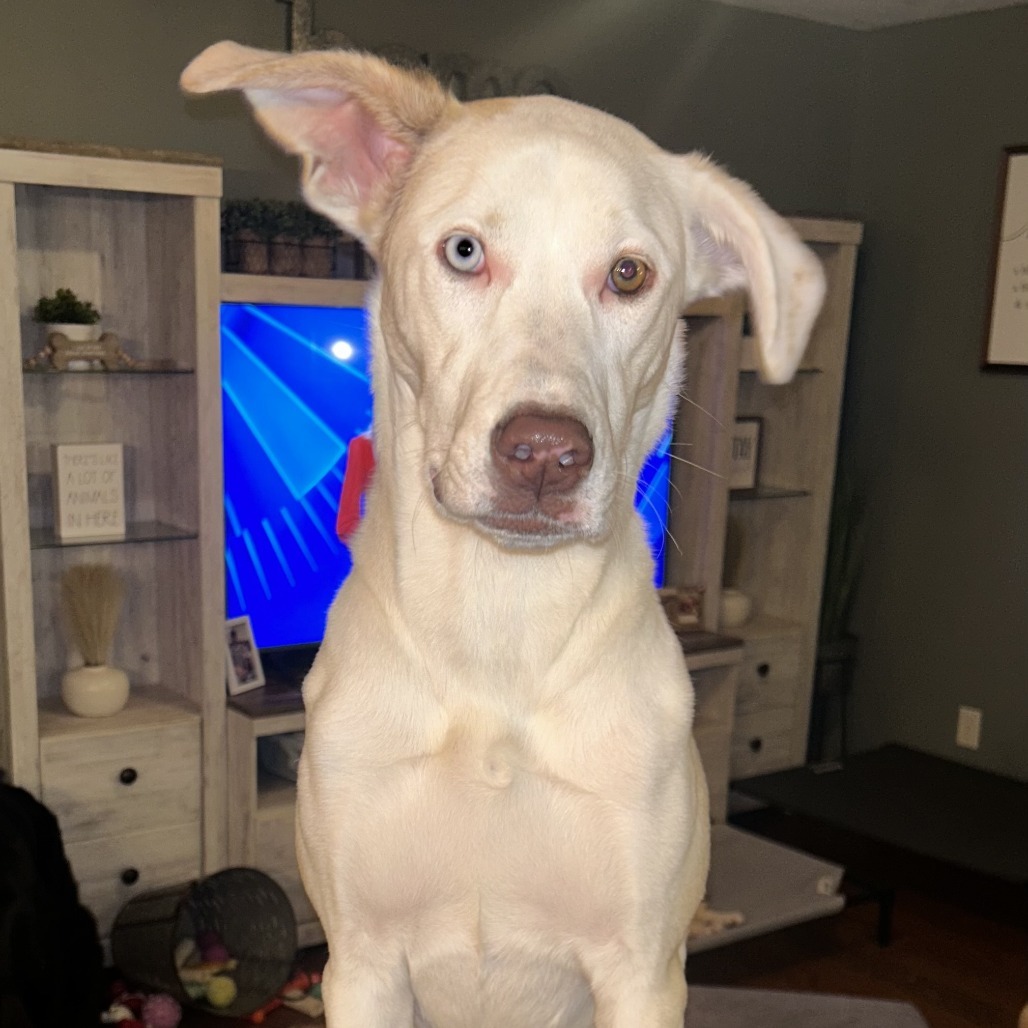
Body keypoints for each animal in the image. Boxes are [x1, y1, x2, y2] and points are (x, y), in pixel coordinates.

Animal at [180, 42, 822, 1028]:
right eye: (465, 250)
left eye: (630, 274)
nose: (546, 456)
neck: (500, 624)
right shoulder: (358, 962)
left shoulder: (642, 972)